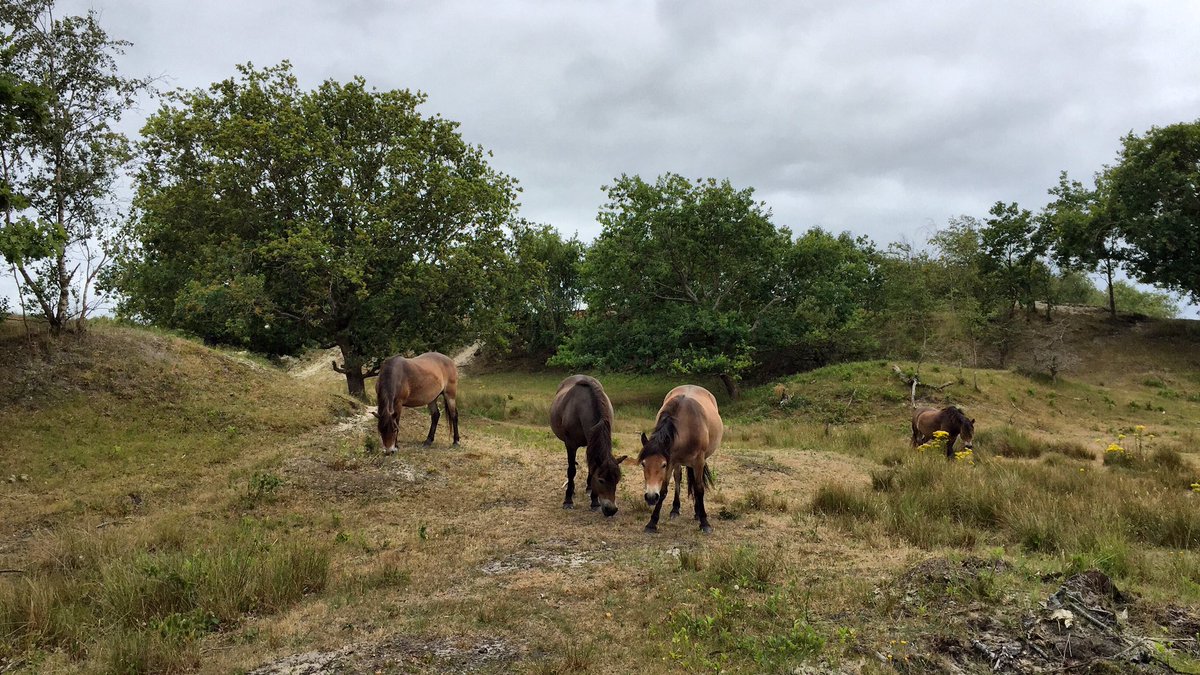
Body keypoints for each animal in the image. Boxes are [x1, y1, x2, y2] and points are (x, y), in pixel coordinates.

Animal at [549, 372, 633, 514]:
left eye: (617, 480)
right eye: (601, 480)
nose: (611, 510)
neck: (581, 409)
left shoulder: (592, 443)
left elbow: (592, 468)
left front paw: (594, 501)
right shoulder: (570, 445)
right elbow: (571, 470)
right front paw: (568, 500)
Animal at [638, 384, 720, 530]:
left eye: (663, 465)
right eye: (643, 463)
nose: (651, 497)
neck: (688, 424)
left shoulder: (698, 461)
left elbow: (699, 489)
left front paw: (704, 522)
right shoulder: (671, 459)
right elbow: (663, 490)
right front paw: (652, 522)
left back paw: (697, 513)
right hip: (678, 461)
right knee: (677, 478)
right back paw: (675, 509)